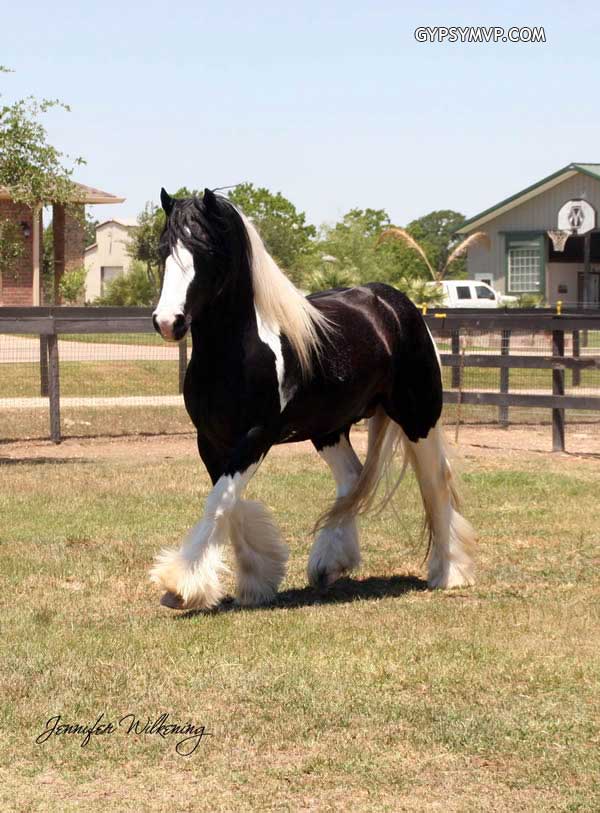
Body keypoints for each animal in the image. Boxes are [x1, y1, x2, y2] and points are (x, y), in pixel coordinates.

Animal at [150, 188, 475, 611]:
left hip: (419, 417)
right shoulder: (211, 442)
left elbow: (220, 503)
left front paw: (180, 586)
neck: (237, 353)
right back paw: (330, 564)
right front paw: (257, 579)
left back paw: (449, 572)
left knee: (436, 483)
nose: (167, 322)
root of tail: (395, 303)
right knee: (351, 481)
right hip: (329, 430)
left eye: (205, 250)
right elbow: (228, 504)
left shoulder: (255, 438)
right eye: (162, 249)